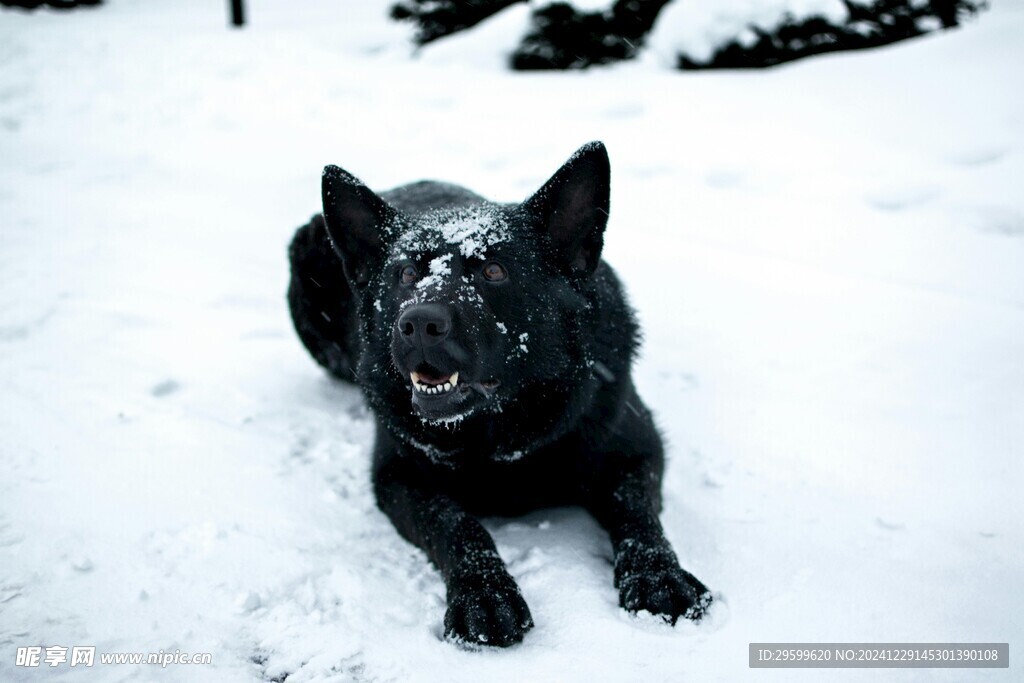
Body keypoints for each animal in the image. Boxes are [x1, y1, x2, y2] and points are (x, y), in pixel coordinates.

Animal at [284, 143, 708, 647]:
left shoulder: (636, 449)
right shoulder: (399, 476)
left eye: (493, 270)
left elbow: (638, 512)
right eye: (405, 273)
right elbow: (458, 527)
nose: (419, 323)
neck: (498, 428)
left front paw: (658, 576)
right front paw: (485, 594)